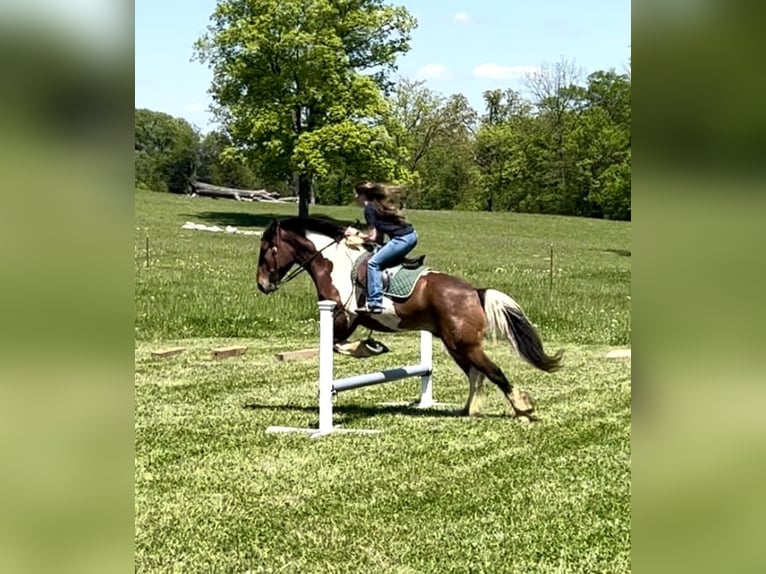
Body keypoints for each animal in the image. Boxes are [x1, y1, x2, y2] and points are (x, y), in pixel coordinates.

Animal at [258, 216, 564, 418]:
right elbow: (336, 345)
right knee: (476, 375)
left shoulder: (343, 318)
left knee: (494, 372)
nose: (262, 285)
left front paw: (368, 348)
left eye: (267, 250)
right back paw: (469, 409)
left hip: (464, 345)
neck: (335, 263)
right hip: (456, 345)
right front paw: (370, 346)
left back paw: (522, 408)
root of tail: (474, 292)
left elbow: (337, 345)